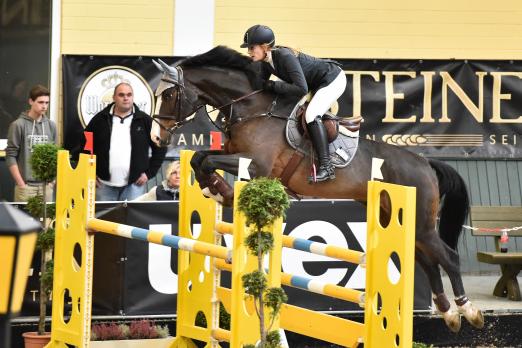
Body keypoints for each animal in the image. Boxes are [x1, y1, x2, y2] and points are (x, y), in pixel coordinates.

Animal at [150, 45, 484, 332]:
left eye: (169, 94)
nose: (156, 137)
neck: (251, 106)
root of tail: (426, 163)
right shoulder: (233, 155)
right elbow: (200, 158)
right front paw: (216, 190)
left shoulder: (255, 164)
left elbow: (206, 160)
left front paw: (222, 191)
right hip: (398, 219)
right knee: (427, 261)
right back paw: (448, 314)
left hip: (421, 223)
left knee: (448, 257)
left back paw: (468, 311)